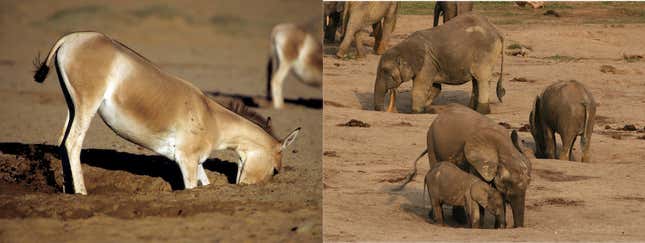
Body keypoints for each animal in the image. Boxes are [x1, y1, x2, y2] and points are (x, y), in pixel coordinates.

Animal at [370, 13, 506, 114]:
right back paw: (471, 109)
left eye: (385, 71)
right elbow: (436, 88)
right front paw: (426, 109)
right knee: (476, 81)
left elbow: (419, 89)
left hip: (485, 54)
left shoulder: (427, 63)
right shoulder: (433, 64)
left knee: (482, 79)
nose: (383, 110)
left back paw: (482, 112)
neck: (404, 46)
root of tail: (497, 31)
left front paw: (416, 112)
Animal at [400, 104, 532, 228]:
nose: (516, 227)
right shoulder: (474, 162)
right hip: (431, 141)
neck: (504, 146)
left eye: (529, 182)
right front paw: (482, 226)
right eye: (507, 182)